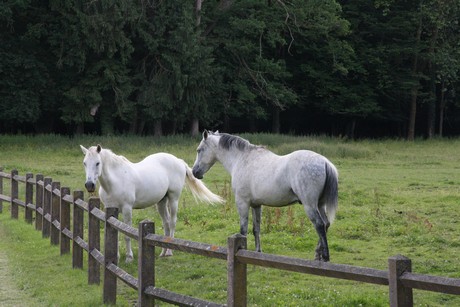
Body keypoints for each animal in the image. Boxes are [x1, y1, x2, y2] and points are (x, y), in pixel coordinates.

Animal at [81, 144, 225, 262]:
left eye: (98, 163)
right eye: (84, 163)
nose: (89, 185)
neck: (115, 181)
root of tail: (178, 161)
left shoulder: (127, 209)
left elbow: (126, 234)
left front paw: (129, 257)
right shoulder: (111, 209)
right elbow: (115, 231)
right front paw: (115, 257)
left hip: (173, 199)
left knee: (172, 223)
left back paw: (169, 252)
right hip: (161, 202)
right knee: (166, 224)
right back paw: (162, 252)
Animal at [190, 131, 338, 262]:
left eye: (199, 150)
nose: (195, 172)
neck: (241, 159)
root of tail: (325, 162)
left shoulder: (242, 203)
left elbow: (243, 230)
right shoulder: (256, 205)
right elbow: (256, 229)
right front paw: (258, 252)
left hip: (310, 205)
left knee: (319, 225)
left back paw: (325, 257)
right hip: (320, 205)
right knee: (326, 224)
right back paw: (318, 255)